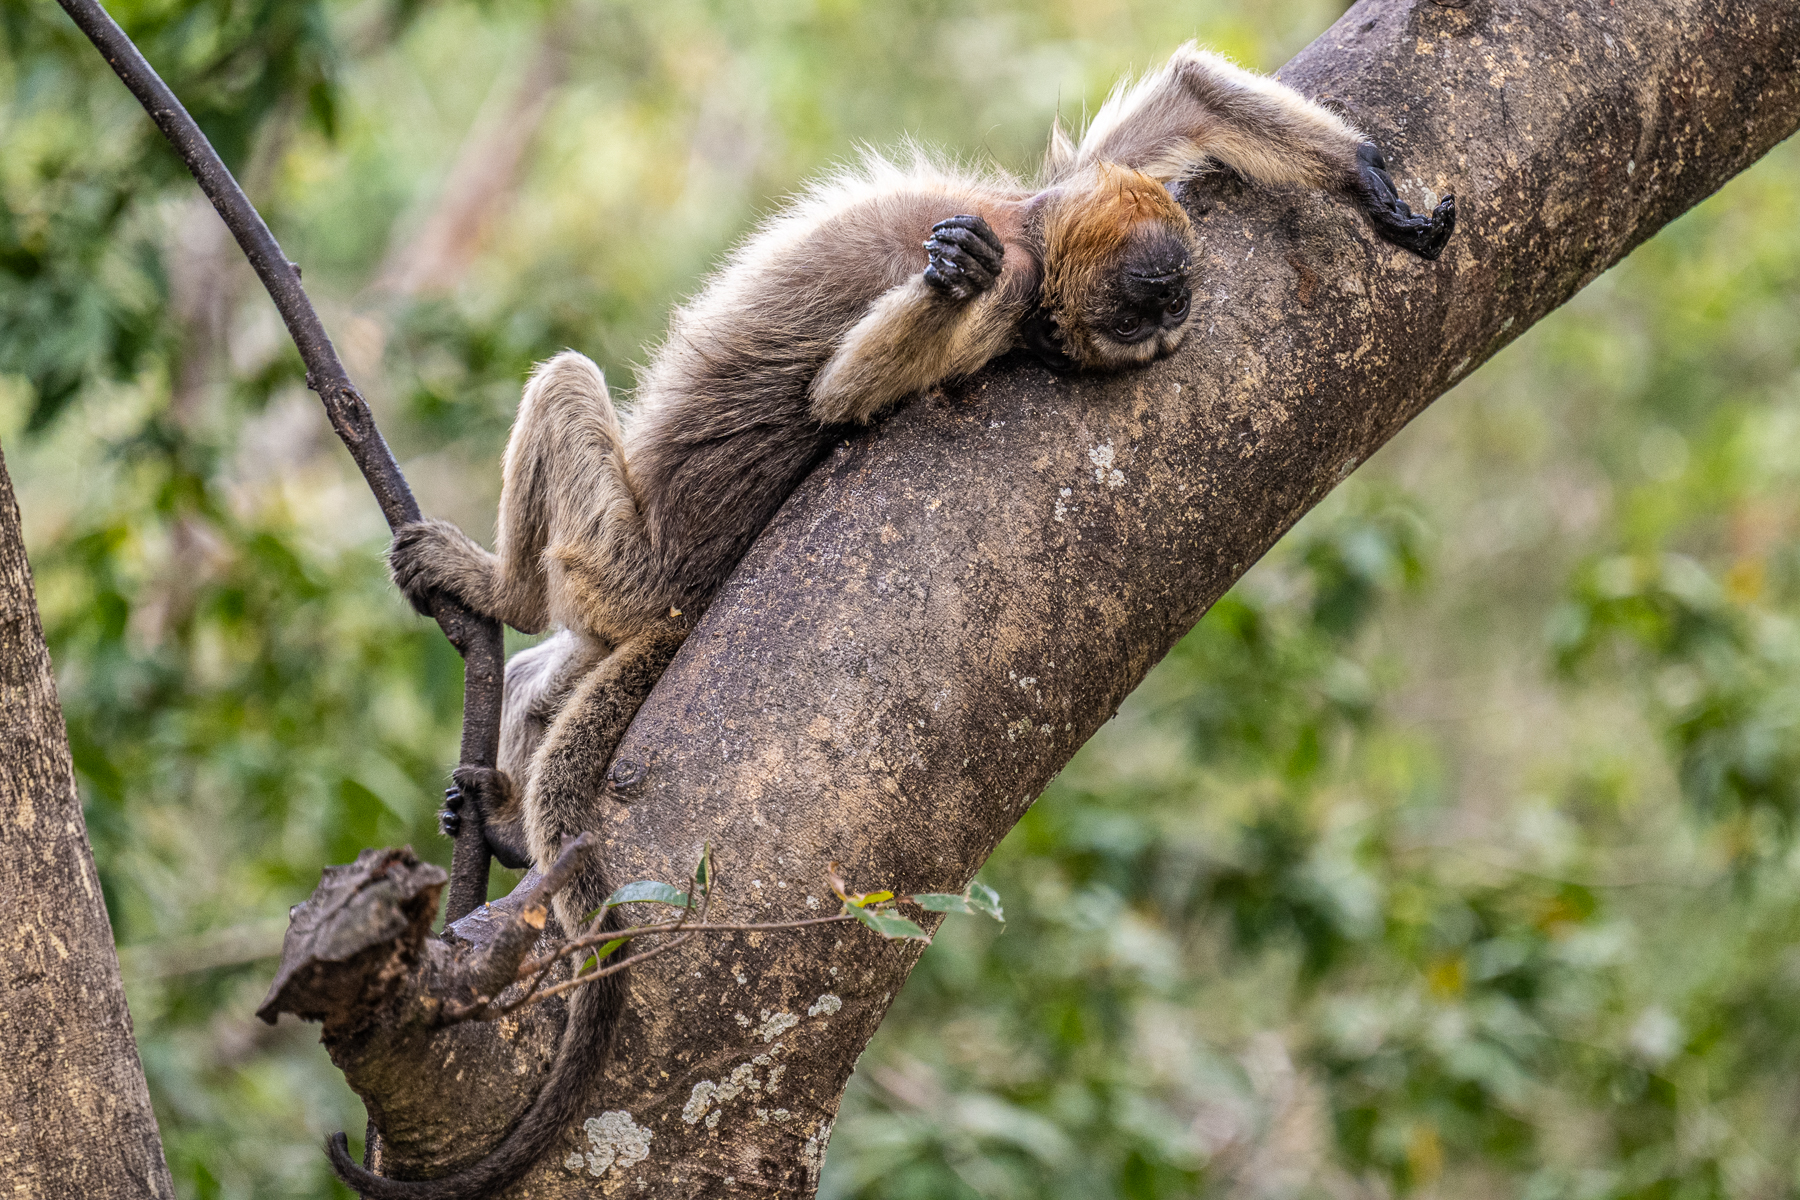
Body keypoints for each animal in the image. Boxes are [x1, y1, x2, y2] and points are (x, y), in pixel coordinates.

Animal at [329, 43, 1454, 1198]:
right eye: (1154, 306)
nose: (1168, 332)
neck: (1022, 237)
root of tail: (681, 589)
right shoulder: (1050, 211)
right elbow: (1185, 97)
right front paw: (1376, 187)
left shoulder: (1015, 295)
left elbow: (840, 394)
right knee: (545, 674)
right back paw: (509, 805)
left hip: (615, 562)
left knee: (563, 403)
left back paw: (494, 598)